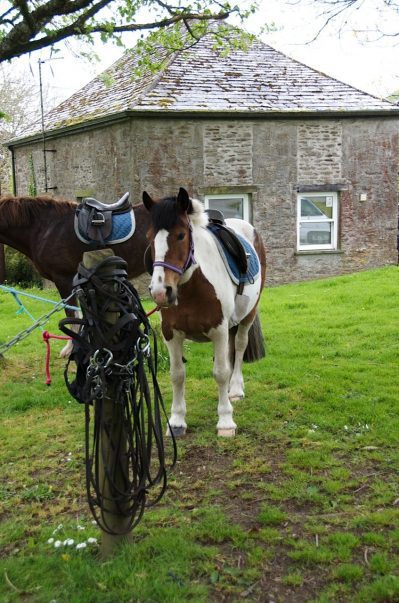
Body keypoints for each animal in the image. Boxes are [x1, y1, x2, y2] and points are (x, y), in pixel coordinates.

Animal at [142, 186, 268, 436]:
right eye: (150, 238)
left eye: (181, 235)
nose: (161, 292)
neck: (193, 286)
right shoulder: (171, 334)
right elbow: (177, 375)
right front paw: (177, 420)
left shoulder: (218, 330)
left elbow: (220, 373)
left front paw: (226, 421)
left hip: (246, 317)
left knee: (239, 348)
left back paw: (235, 389)